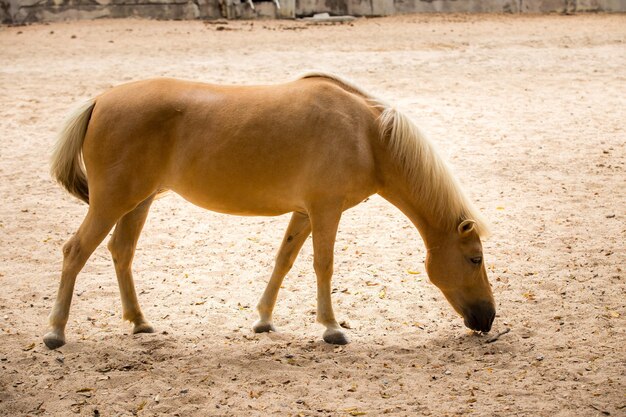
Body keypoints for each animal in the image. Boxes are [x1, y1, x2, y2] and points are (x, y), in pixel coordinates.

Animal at [42, 72, 492, 348]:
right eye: (475, 258)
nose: (487, 319)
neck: (366, 136)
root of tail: (99, 100)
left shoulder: (305, 212)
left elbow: (284, 260)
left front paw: (263, 320)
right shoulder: (326, 211)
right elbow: (323, 266)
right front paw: (331, 328)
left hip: (138, 203)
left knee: (121, 253)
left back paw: (139, 322)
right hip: (112, 203)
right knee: (74, 252)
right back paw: (55, 332)